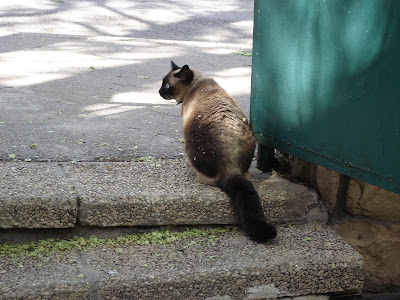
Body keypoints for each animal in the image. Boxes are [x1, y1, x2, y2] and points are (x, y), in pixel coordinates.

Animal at [158, 61, 276, 244]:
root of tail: (232, 171)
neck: (196, 84)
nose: (159, 91)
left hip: (192, 146)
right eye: (162, 84)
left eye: (167, 85)